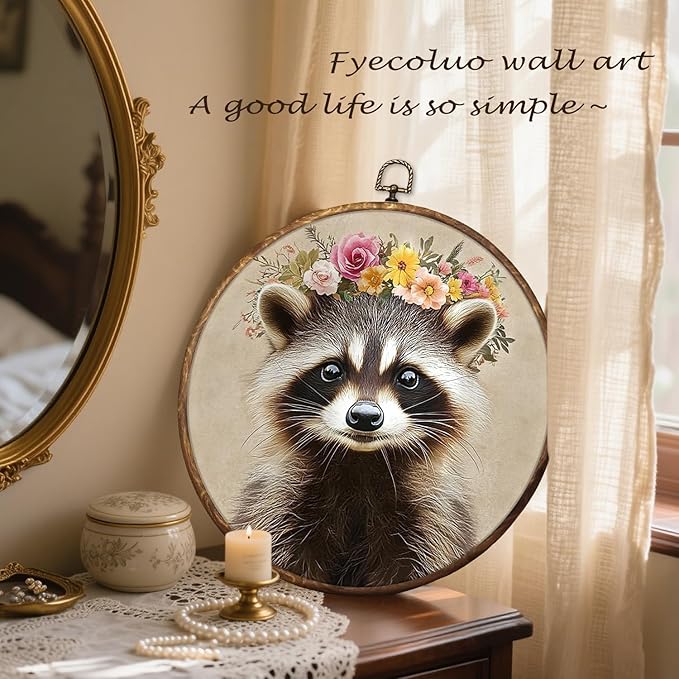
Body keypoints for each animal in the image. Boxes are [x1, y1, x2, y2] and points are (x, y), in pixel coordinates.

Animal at [234, 282, 497, 587]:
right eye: (331, 370)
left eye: (408, 377)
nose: (365, 416)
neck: (361, 462)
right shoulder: (277, 501)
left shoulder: (436, 518)